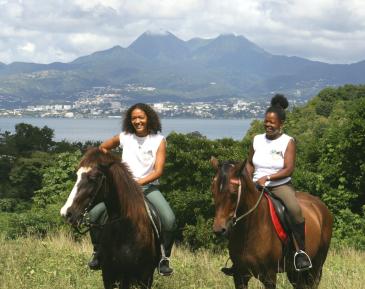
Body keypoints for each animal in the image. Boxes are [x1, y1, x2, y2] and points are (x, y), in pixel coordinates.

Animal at [60, 148, 159, 288]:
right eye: (78, 175)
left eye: (93, 178)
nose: (66, 213)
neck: (125, 230)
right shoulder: (109, 274)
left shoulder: (144, 277)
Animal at [210, 158, 332, 288]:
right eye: (213, 191)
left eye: (233, 193)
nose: (219, 229)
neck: (249, 229)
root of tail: (320, 205)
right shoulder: (240, 276)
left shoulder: (269, 276)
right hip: (294, 272)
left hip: (316, 266)